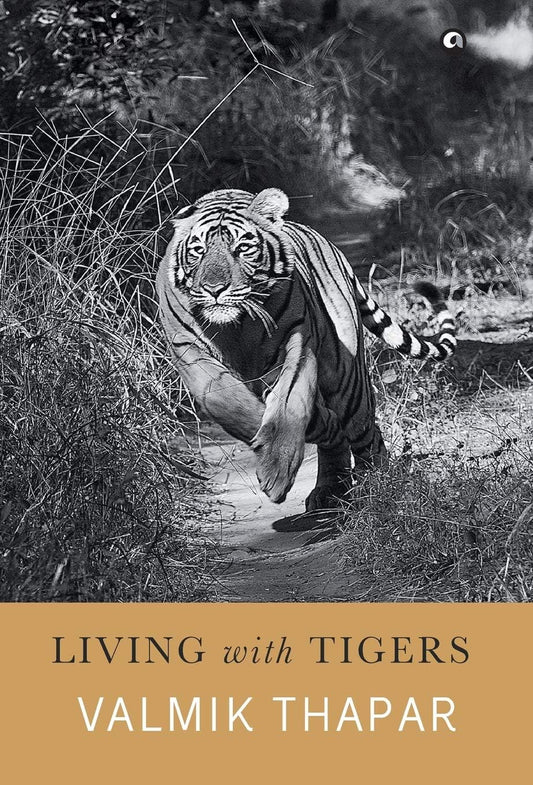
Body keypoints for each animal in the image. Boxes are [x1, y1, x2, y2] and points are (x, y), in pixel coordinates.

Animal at [156, 187, 456, 514]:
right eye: (198, 250)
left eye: (243, 248)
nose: (214, 289)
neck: (236, 328)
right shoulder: (188, 349)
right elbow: (225, 401)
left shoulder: (297, 341)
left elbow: (291, 400)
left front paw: (277, 468)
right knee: (338, 439)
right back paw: (332, 485)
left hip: (346, 381)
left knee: (366, 433)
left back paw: (376, 488)